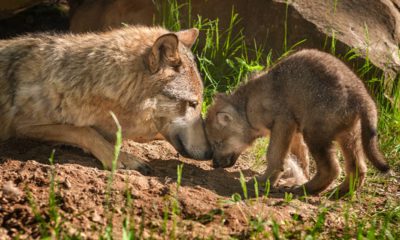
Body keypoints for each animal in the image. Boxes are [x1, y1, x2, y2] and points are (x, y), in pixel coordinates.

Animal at [0, 25, 212, 172]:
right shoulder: (23, 126)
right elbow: (84, 131)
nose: (209, 152)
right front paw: (119, 158)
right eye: (192, 103)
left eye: (199, 104)